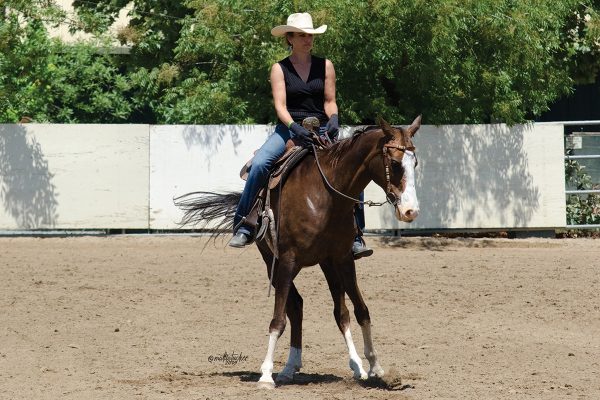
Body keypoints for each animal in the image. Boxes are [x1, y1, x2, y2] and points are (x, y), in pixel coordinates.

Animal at [176, 115, 422, 388]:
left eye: (415, 162)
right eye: (395, 163)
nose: (411, 211)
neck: (326, 194)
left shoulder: (342, 259)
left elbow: (360, 311)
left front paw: (375, 367)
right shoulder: (286, 259)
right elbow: (278, 318)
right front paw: (265, 375)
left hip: (325, 264)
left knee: (332, 311)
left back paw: (332, 365)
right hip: (271, 261)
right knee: (294, 306)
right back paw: (286, 367)